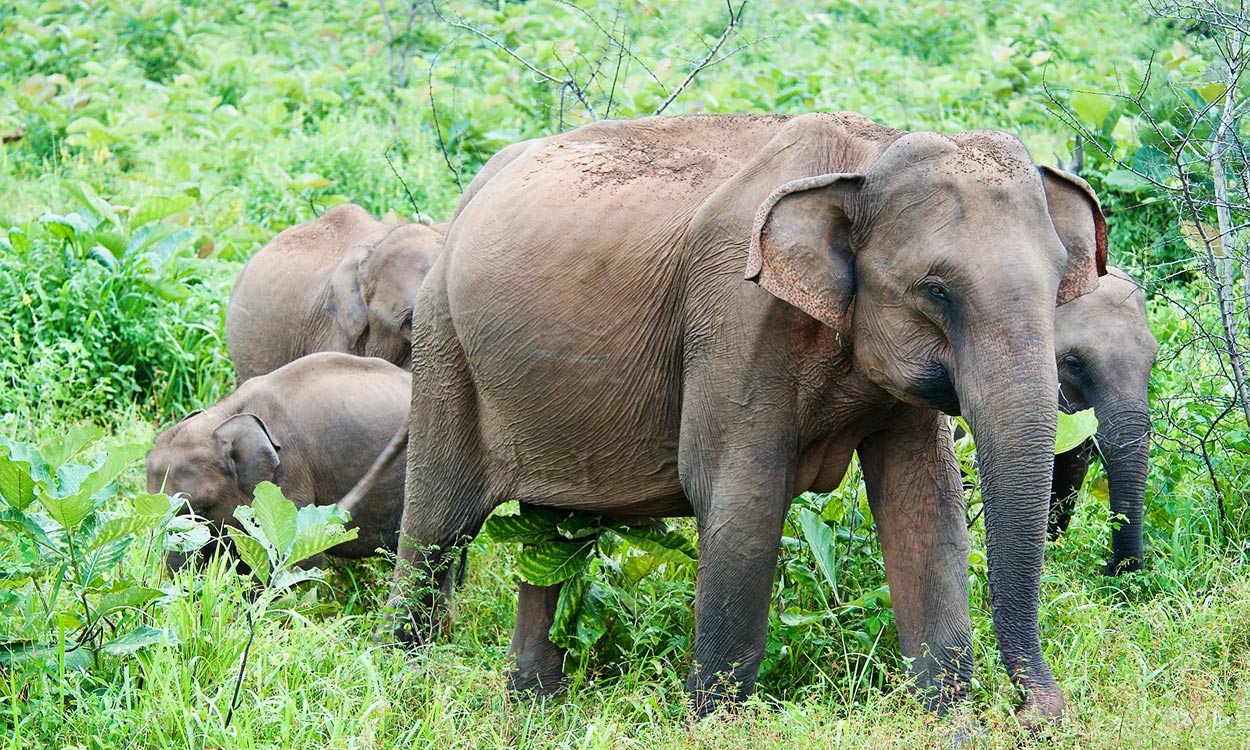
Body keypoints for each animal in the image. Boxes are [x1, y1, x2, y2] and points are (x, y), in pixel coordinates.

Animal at [391, 113, 1107, 727]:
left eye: (1058, 284)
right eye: (936, 290)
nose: (1035, 711)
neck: (864, 160)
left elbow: (924, 507)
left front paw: (951, 724)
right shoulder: (735, 315)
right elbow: (743, 499)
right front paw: (713, 726)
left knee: (550, 535)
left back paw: (533, 708)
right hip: (443, 344)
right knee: (437, 527)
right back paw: (410, 682)